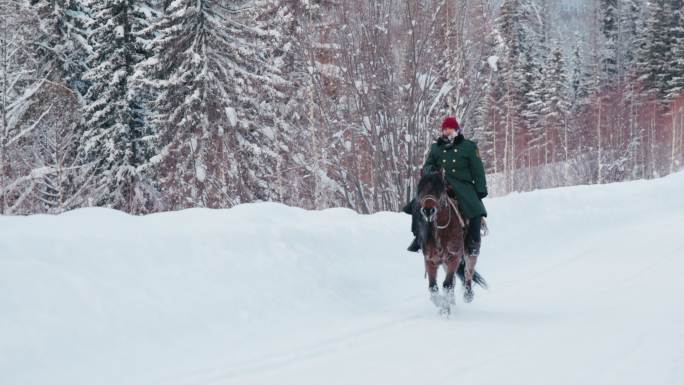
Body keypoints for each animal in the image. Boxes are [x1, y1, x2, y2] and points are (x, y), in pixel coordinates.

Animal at [412, 170, 486, 314]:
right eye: (420, 190)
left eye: (438, 190)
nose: (428, 211)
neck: (441, 230)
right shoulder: (430, 261)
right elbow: (433, 287)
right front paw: (442, 305)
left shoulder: (453, 258)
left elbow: (447, 285)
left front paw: (445, 310)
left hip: (471, 249)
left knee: (468, 270)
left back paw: (467, 294)